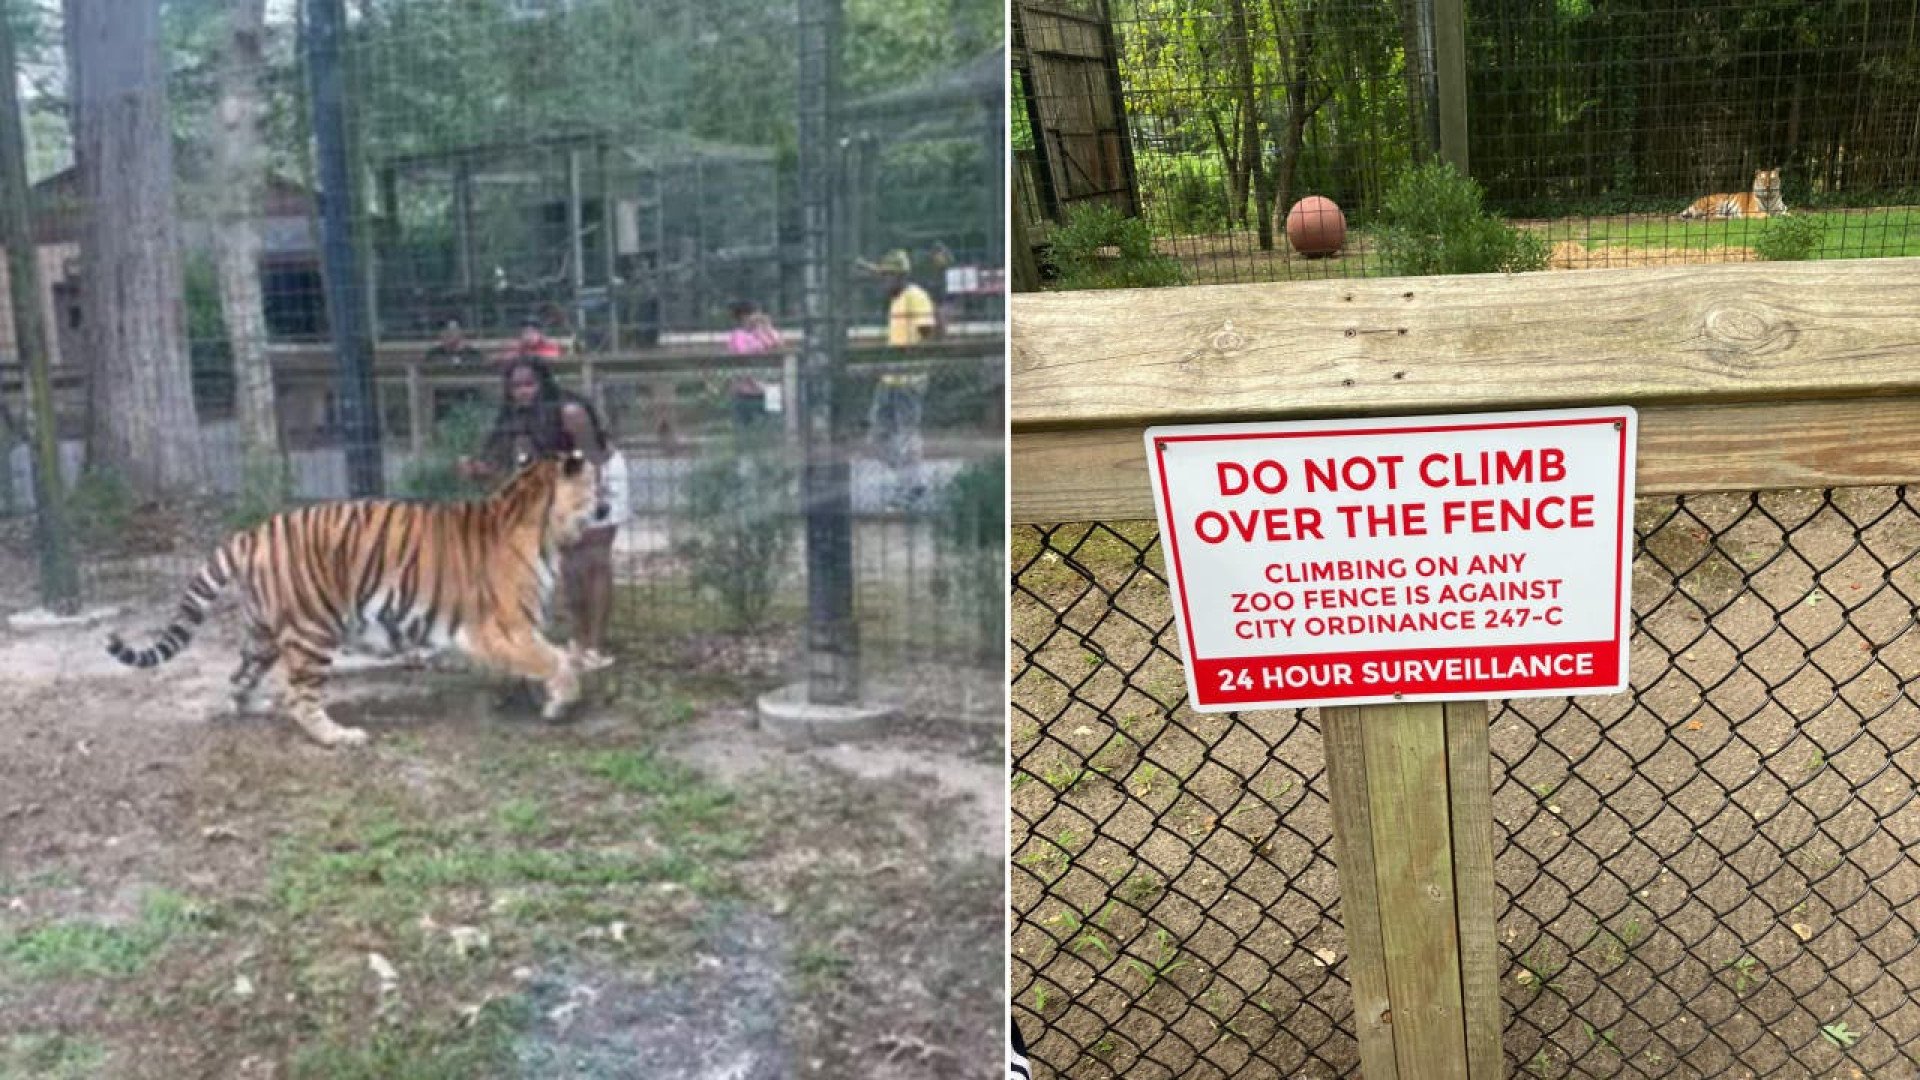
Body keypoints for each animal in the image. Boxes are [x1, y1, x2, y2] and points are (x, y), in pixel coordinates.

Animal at [101, 449, 606, 745]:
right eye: (598, 482)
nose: (608, 503)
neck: (541, 522)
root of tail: (253, 533)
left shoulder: (517, 630)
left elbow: (548, 658)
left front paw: (540, 697)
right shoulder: (501, 626)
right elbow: (556, 659)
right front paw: (561, 703)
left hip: (262, 634)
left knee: (241, 678)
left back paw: (254, 707)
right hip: (312, 630)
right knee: (299, 695)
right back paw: (339, 736)